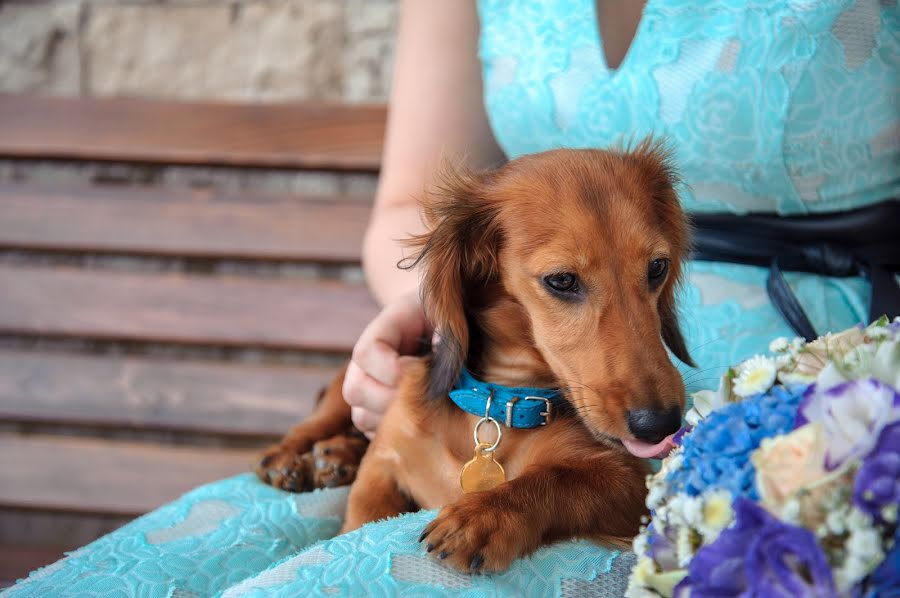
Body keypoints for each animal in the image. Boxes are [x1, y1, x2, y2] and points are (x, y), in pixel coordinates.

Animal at [256, 143, 692, 576]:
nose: (661, 424)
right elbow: (363, 515)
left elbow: (561, 479)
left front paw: (483, 517)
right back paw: (296, 459)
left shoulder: (632, 483)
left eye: (657, 267)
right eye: (562, 280)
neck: (497, 405)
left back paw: (335, 457)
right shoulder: (384, 463)